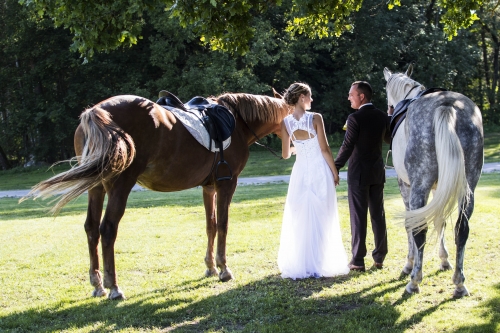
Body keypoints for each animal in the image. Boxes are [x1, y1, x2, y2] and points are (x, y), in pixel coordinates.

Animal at [21, 92, 292, 298]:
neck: (237, 123)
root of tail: (96, 112)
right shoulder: (227, 184)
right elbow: (223, 225)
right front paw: (224, 269)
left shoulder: (209, 187)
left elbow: (211, 225)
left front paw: (210, 268)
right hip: (120, 185)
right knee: (107, 229)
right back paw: (114, 287)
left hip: (96, 187)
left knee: (90, 228)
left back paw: (98, 285)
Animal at [384, 65, 482, 296]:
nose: (389, 110)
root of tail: (446, 106)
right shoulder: (440, 188)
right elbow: (441, 221)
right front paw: (444, 260)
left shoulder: (406, 186)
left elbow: (411, 224)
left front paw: (409, 264)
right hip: (469, 187)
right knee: (462, 228)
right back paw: (459, 283)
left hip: (419, 186)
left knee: (419, 229)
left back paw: (414, 280)